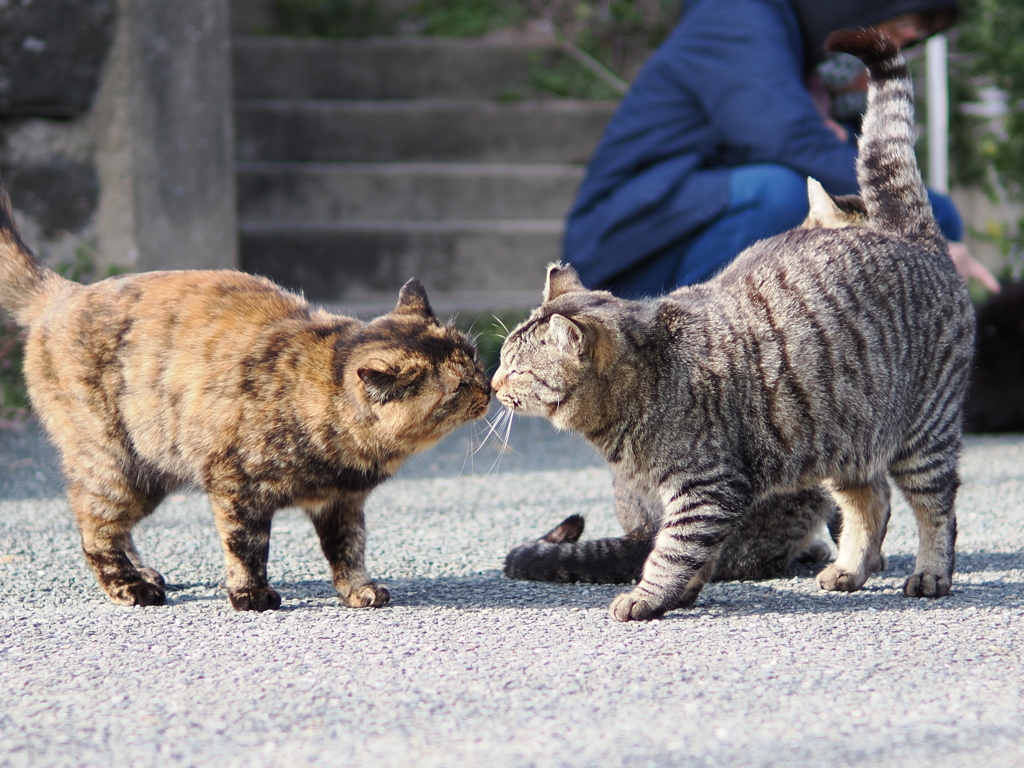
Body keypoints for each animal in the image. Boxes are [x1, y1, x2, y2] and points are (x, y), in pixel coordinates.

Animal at [0, 191, 491, 614]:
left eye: (474, 358)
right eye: (458, 387)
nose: (487, 388)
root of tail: (65, 293)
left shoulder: (342, 504)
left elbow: (348, 549)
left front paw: (359, 590)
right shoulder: (236, 487)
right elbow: (246, 545)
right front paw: (251, 595)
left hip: (148, 474)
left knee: (115, 528)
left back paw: (146, 573)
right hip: (118, 467)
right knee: (95, 528)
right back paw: (131, 586)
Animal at [495, 27, 974, 622]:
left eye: (515, 370)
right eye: (501, 363)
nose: (491, 384)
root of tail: (906, 233)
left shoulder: (707, 486)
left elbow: (674, 550)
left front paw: (648, 596)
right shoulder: (700, 493)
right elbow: (693, 553)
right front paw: (681, 592)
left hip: (925, 431)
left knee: (936, 509)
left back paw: (930, 572)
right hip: (845, 437)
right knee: (870, 502)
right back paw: (849, 568)